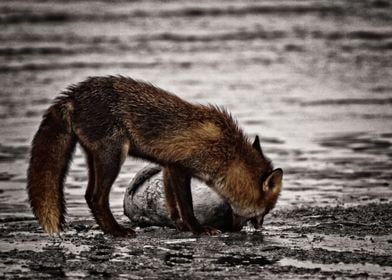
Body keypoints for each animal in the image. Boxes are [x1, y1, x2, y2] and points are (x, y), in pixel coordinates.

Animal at [27, 76, 284, 236]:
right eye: (263, 211)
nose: (258, 229)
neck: (227, 152)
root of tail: (73, 95)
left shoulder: (169, 166)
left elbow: (173, 206)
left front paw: (181, 227)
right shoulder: (181, 167)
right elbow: (187, 206)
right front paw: (198, 229)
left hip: (95, 158)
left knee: (90, 195)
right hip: (113, 156)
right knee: (96, 197)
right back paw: (116, 232)